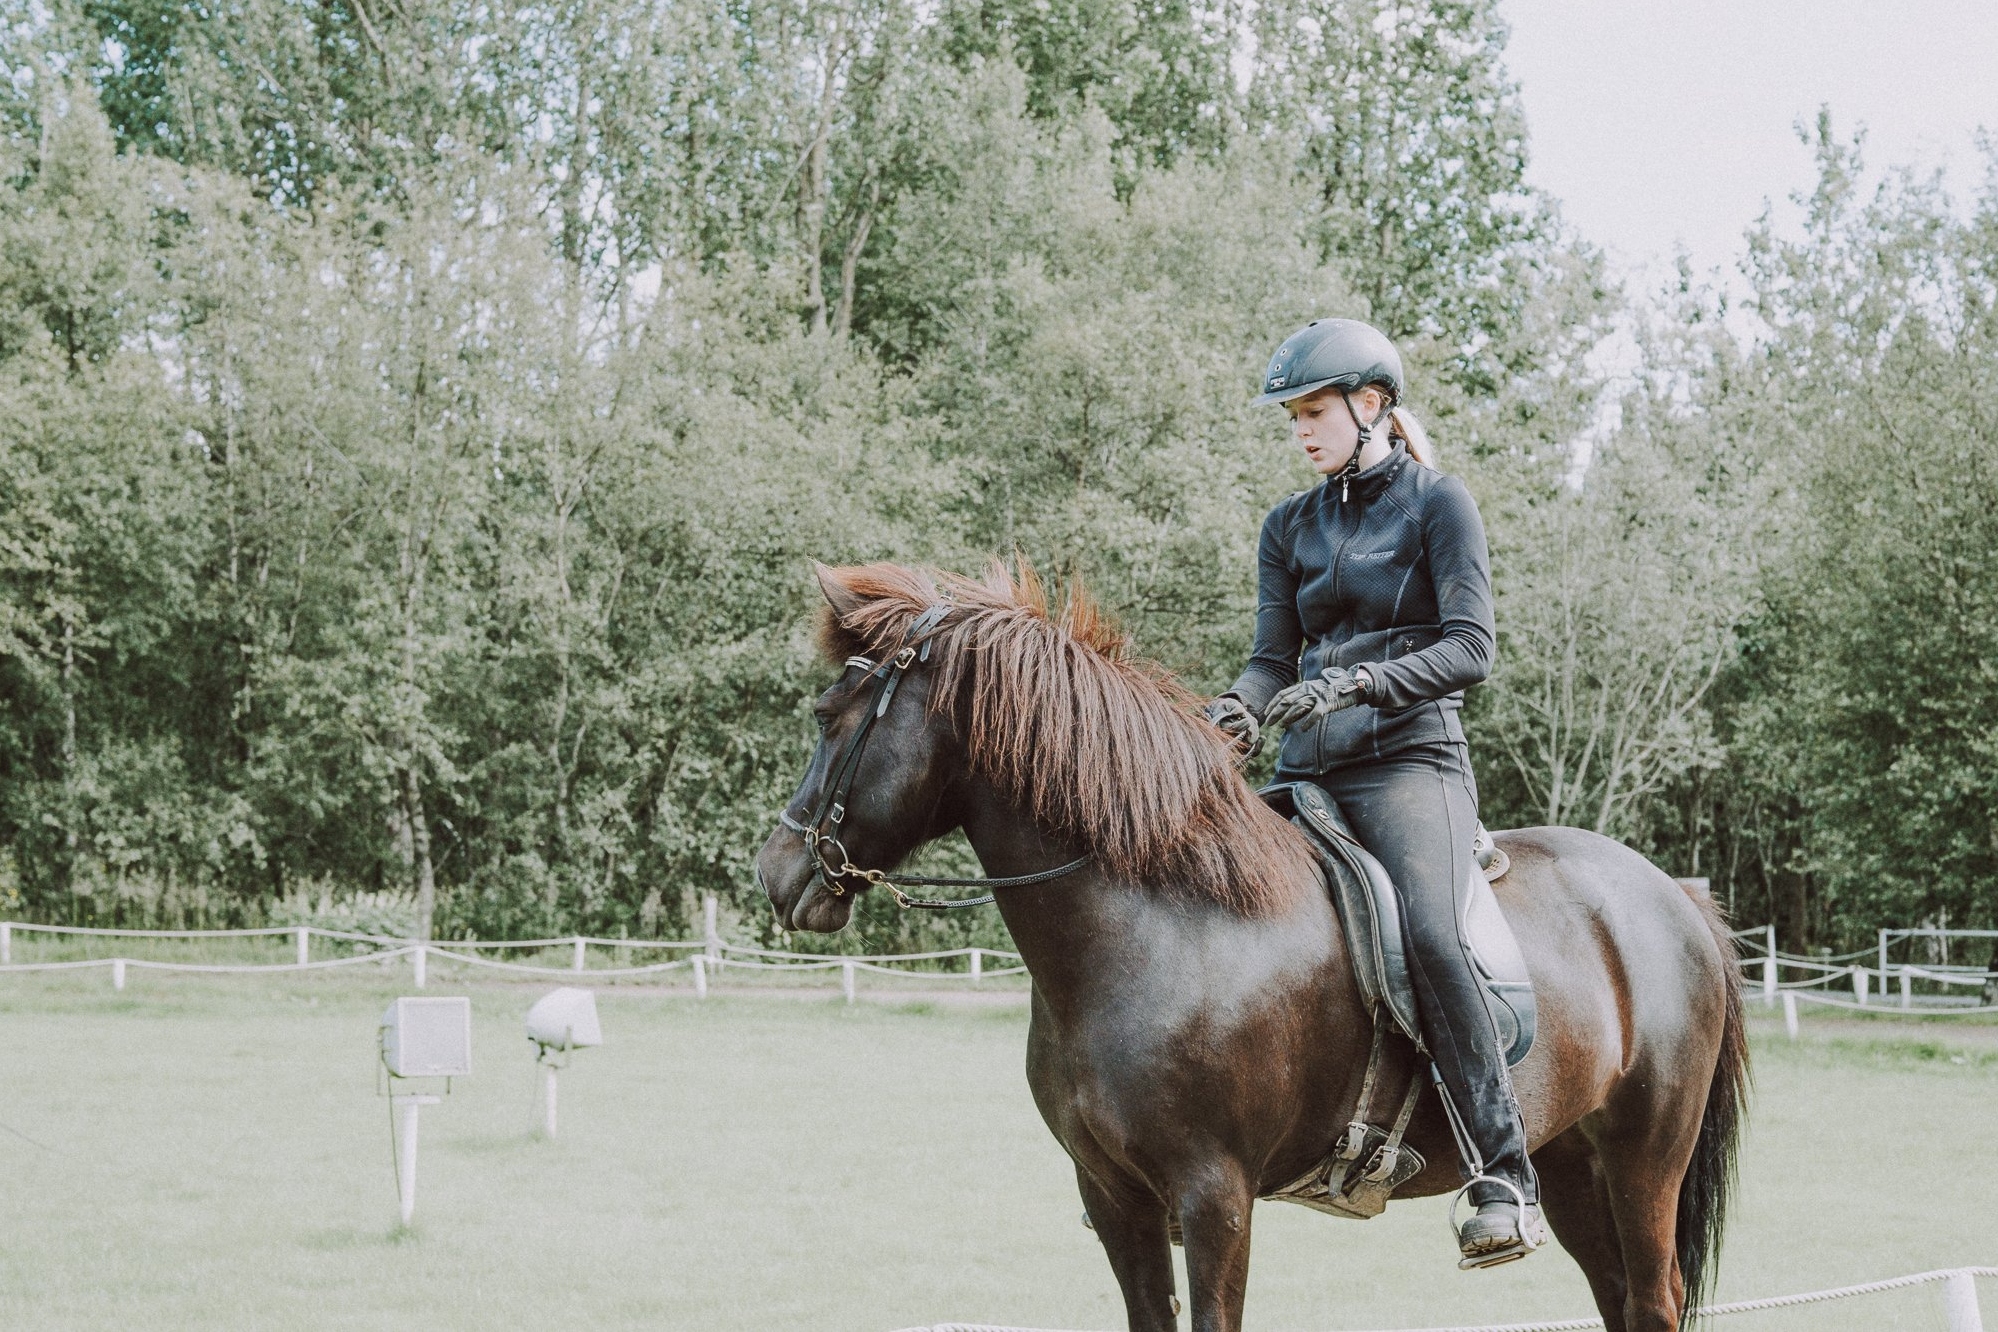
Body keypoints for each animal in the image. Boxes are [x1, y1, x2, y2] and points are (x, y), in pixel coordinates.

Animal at [751, 563, 1750, 1332]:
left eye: (831, 712)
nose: (778, 871)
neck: (1152, 930)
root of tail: (1673, 897)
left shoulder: (1216, 1199)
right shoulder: (1117, 1199)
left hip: (1643, 1161)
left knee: (1652, 1300)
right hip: (1576, 1166)